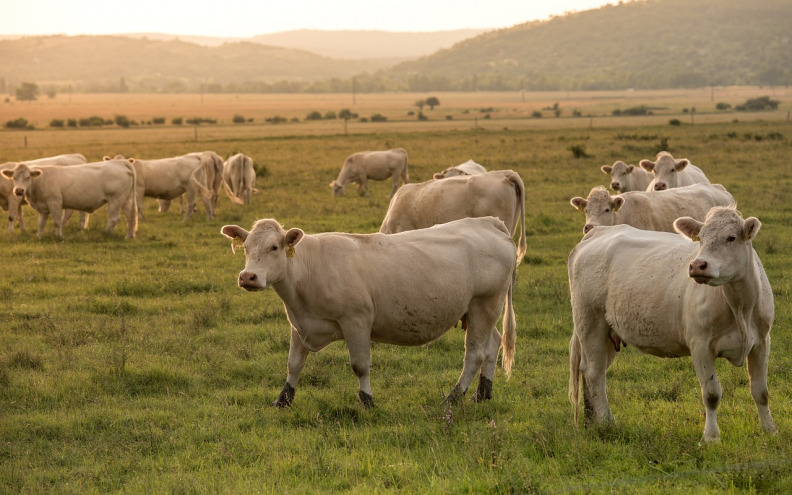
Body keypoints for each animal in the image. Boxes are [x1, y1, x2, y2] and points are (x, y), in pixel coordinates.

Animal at [1, 158, 138, 237]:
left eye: (28, 177)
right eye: (14, 177)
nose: (19, 190)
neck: (40, 181)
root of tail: (121, 162)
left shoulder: (55, 203)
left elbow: (57, 221)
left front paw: (59, 236)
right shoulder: (43, 207)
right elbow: (41, 223)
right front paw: (39, 236)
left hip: (115, 200)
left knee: (114, 218)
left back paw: (105, 233)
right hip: (126, 200)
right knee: (130, 217)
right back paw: (129, 236)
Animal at [221, 218, 520, 410]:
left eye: (274, 247)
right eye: (246, 248)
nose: (248, 277)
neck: (309, 269)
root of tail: (487, 222)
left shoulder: (356, 322)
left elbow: (360, 365)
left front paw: (367, 400)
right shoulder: (299, 325)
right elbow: (293, 365)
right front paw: (283, 400)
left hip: (484, 304)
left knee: (474, 354)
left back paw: (454, 398)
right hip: (479, 311)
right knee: (492, 345)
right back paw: (482, 394)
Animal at [568, 207, 780, 444]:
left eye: (731, 237)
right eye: (701, 238)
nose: (697, 265)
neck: (740, 307)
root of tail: (597, 232)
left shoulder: (762, 342)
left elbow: (761, 391)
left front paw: (770, 429)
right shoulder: (700, 345)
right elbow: (711, 394)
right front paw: (711, 437)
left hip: (608, 331)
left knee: (590, 370)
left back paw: (591, 421)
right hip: (590, 321)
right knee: (594, 373)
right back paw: (607, 422)